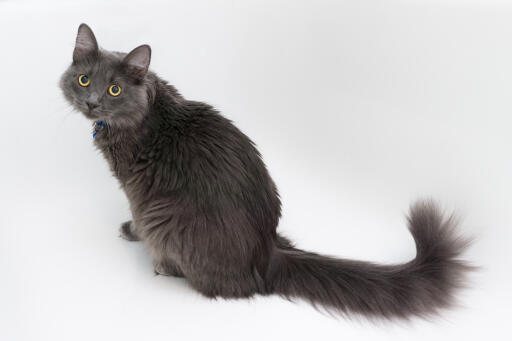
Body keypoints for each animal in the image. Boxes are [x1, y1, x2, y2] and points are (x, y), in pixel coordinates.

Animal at [60, 23, 472, 318]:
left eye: (114, 90)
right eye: (84, 80)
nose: (92, 102)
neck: (145, 111)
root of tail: (267, 254)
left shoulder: (135, 187)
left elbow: (134, 213)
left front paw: (131, 231)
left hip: (164, 216)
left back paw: (161, 264)